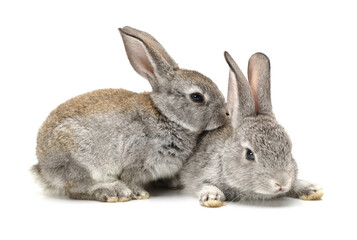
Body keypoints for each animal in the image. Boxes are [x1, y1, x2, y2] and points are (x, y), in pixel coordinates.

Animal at [32, 26, 227, 202]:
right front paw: (140, 193)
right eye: (197, 97)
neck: (166, 114)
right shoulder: (136, 160)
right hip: (79, 161)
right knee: (78, 188)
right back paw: (114, 192)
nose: (226, 114)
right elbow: (130, 178)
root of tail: (43, 169)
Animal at [179, 51, 322, 207]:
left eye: (289, 148)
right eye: (249, 154)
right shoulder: (198, 174)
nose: (281, 182)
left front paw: (311, 189)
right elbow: (202, 184)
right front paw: (212, 197)